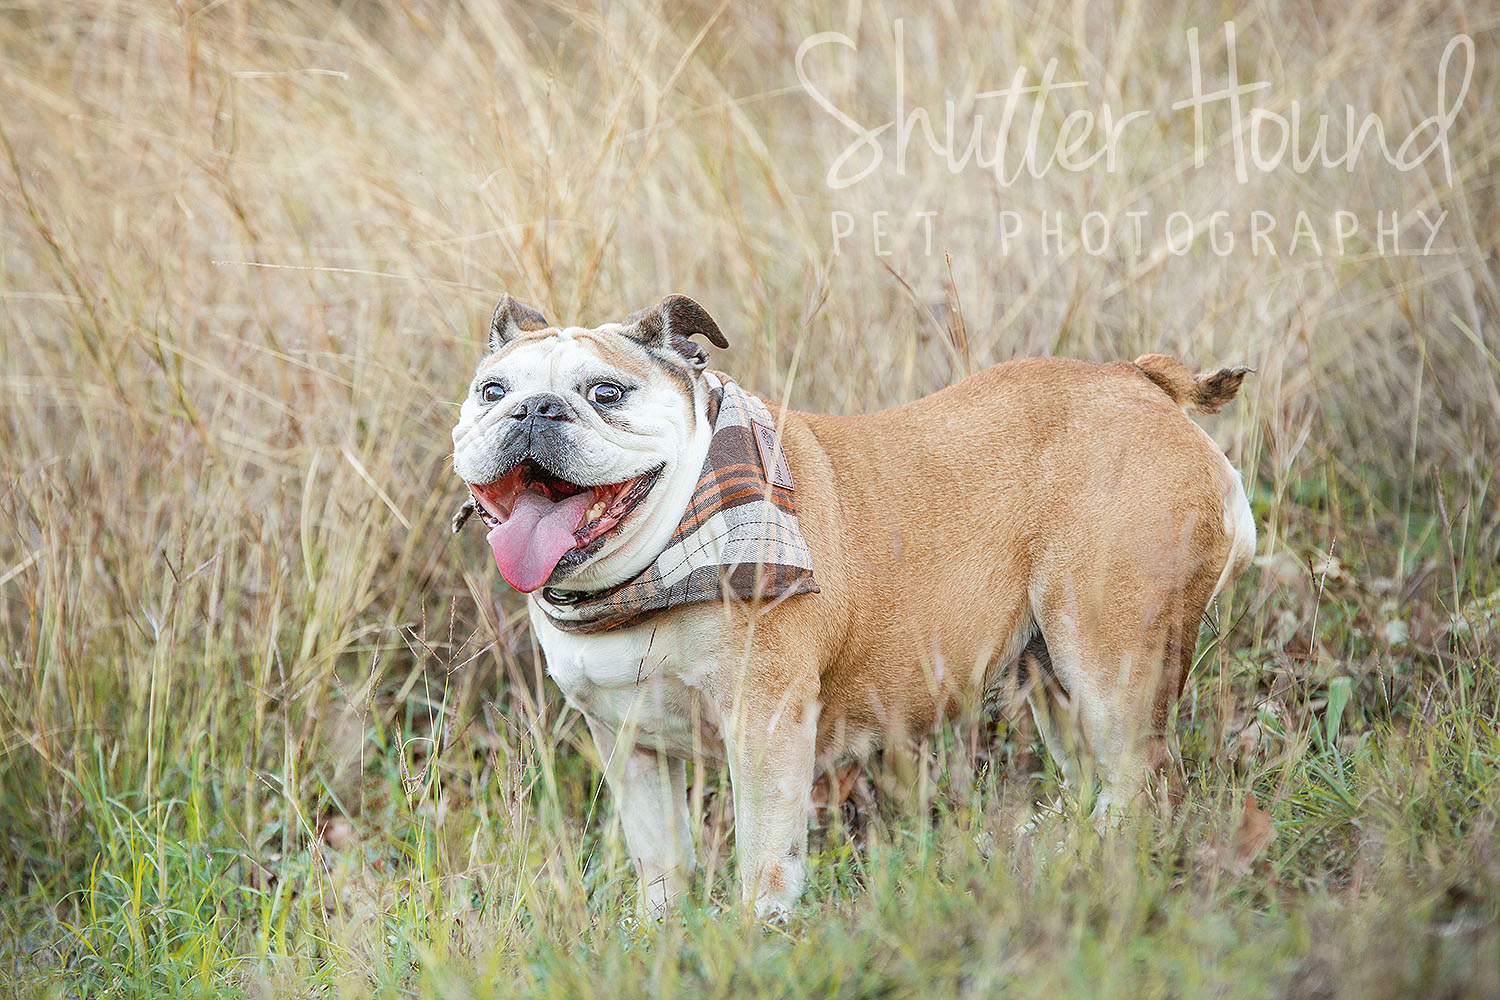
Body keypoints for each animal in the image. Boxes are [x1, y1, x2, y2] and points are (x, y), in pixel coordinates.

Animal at [451, 292, 1256, 919]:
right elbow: (661, 861)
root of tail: (1142, 382)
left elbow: (765, 847)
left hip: (1111, 658)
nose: (533, 409)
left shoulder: (765, 722)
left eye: (606, 394)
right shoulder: (630, 745)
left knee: (1136, 780)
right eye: (492, 391)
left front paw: (757, 931)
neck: (650, 567)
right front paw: (660, 936)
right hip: (1052, 674)